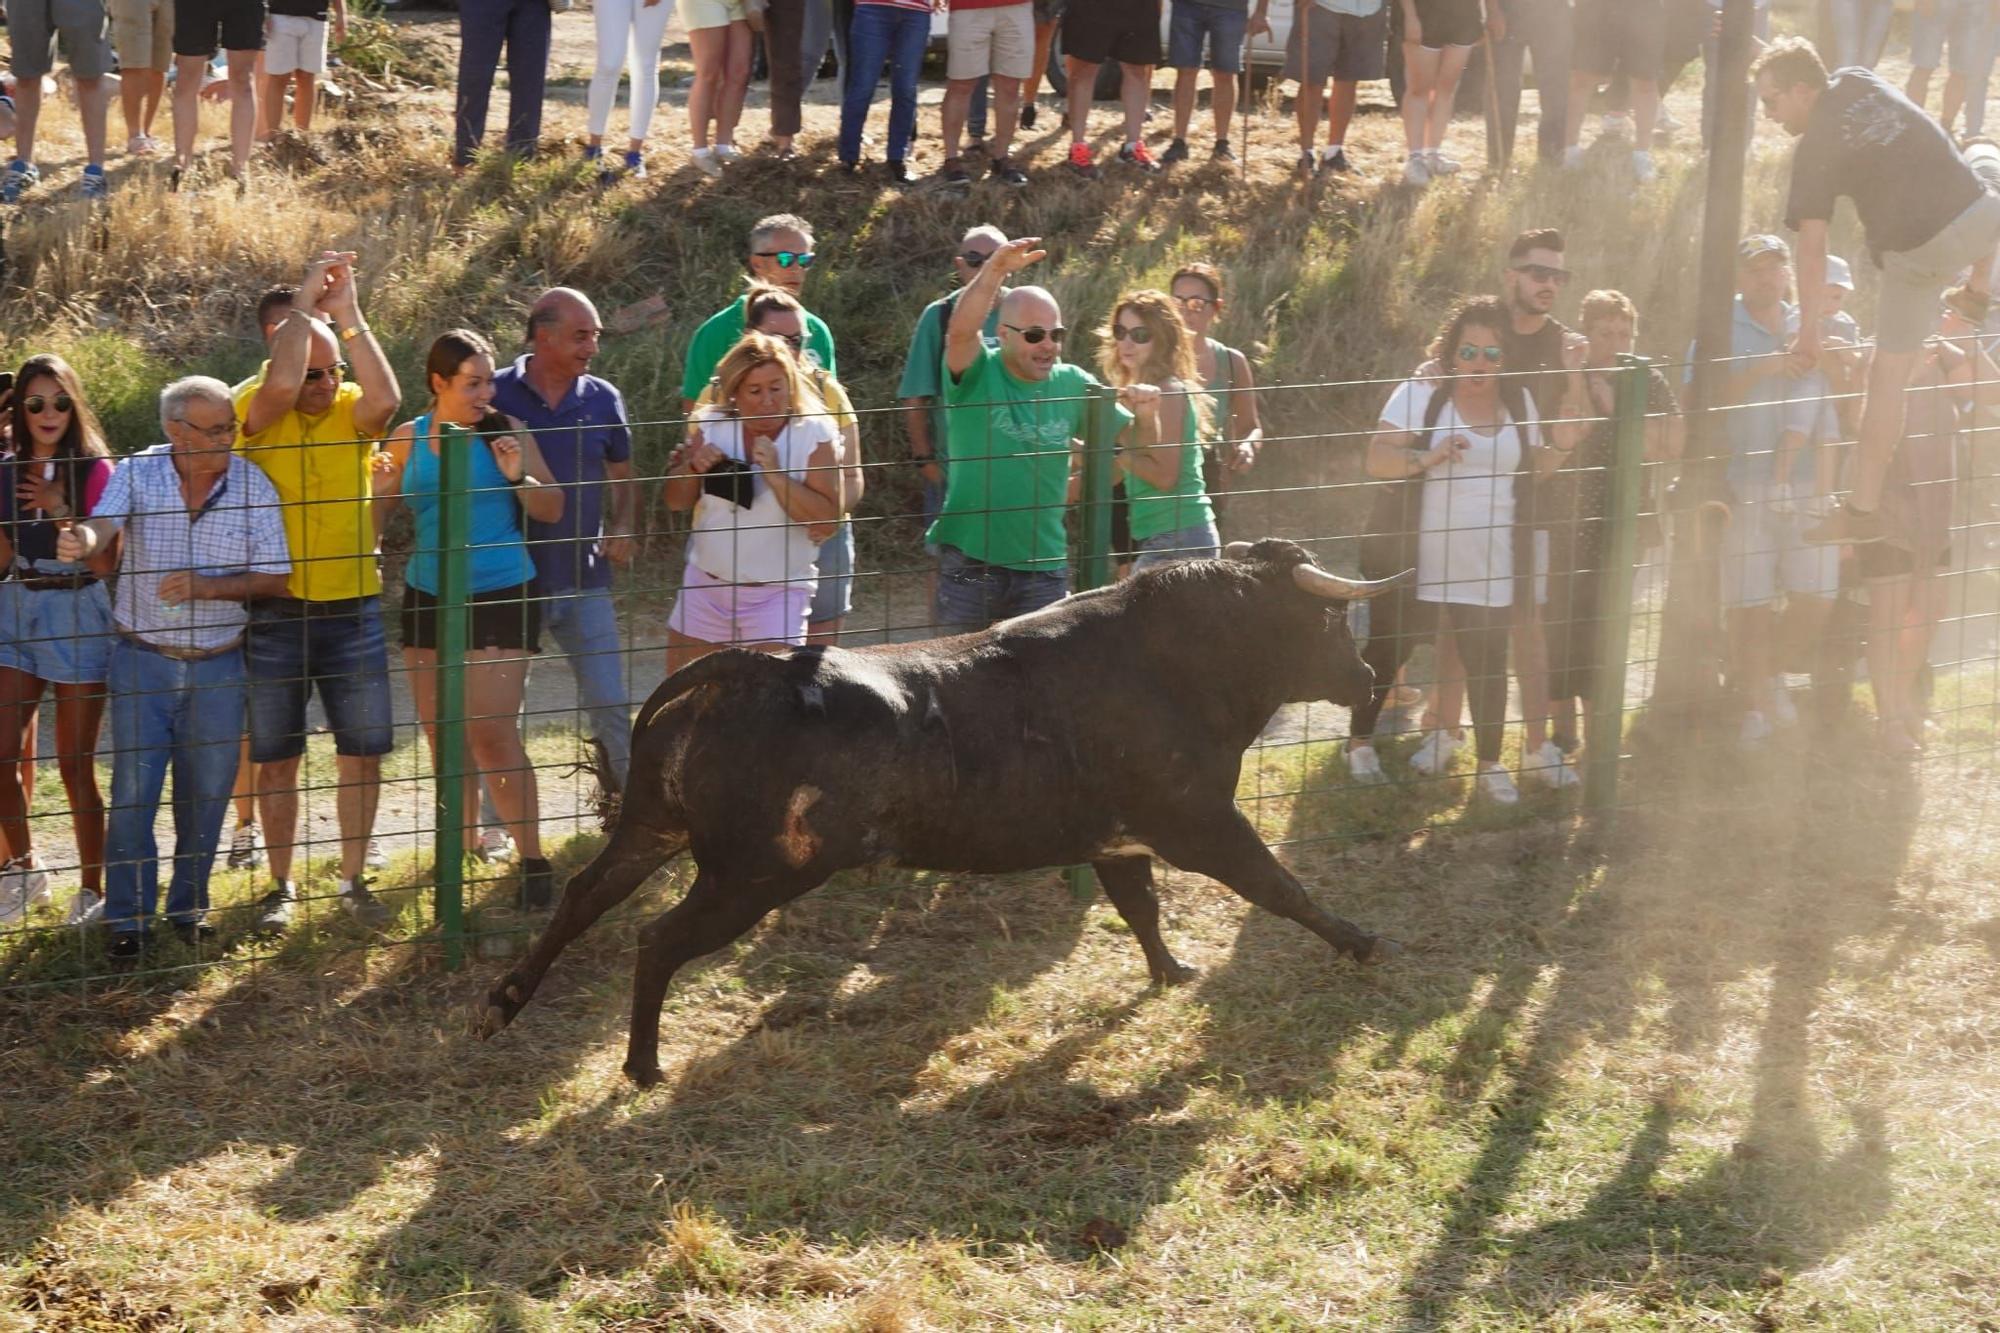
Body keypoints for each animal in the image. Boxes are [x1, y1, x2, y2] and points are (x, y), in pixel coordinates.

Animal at [486, 536, 1416, 1080]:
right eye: (1329, 621)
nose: (1369, 675)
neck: (1170, 663)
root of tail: (736, 669)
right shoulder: (1200, 823)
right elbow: (1275, 884)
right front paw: (1360, 941)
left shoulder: (1118, 840)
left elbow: (1142, 908)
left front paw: (1172, 970)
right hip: (751, 875)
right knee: (656, 938)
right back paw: (642, 1065)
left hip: (656, 828)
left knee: (587, 896)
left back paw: (507, 997)